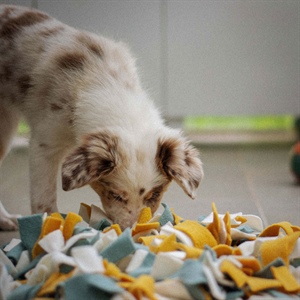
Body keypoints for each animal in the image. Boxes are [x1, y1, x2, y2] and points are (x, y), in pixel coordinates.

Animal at [0, 4, 204, 230]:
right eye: (115, 195)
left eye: (155, 195)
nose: (132, 230)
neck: (101, 80)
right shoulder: (45, 142)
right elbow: (44, 197)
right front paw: (51, 228)